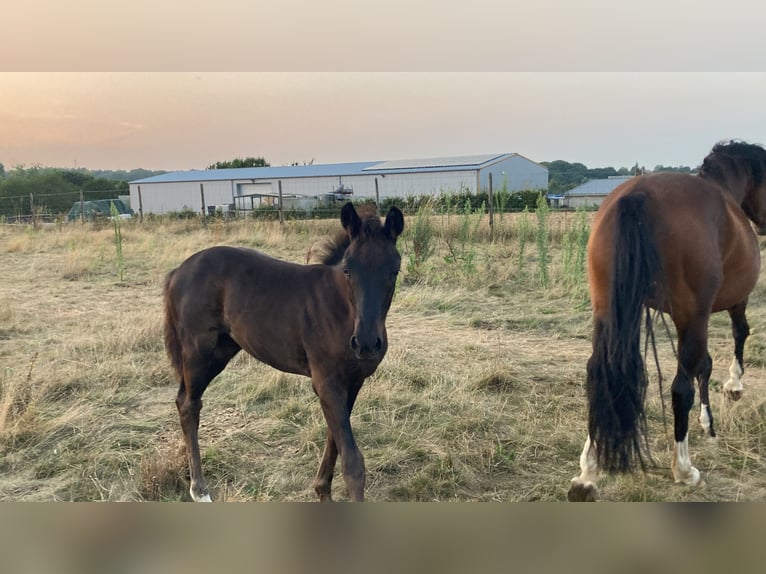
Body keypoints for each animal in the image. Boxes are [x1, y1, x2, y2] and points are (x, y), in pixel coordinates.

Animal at [163, 202, 404, 501]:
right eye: (348, 270)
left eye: (395, 270)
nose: (367, 344)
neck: (340, 311)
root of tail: (179, 271)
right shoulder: (326, 383)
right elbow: (352, 461)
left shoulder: (353, 382)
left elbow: (334, 438)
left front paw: (322, 490)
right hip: (199, 352)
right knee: (189, 404)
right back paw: (199, 489)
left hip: (222, 349)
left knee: (183, 399)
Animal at [568, 140, 766, 501]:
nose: (762, 226)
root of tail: (640, 194)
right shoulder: (726, 303)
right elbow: (737, 336)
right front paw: (732, 389)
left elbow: (706, 364)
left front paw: (708, 422)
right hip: (690, 315)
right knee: (679, 388)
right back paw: (684, 469)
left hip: (609, 309)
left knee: (600, 375)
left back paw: (587, 474)